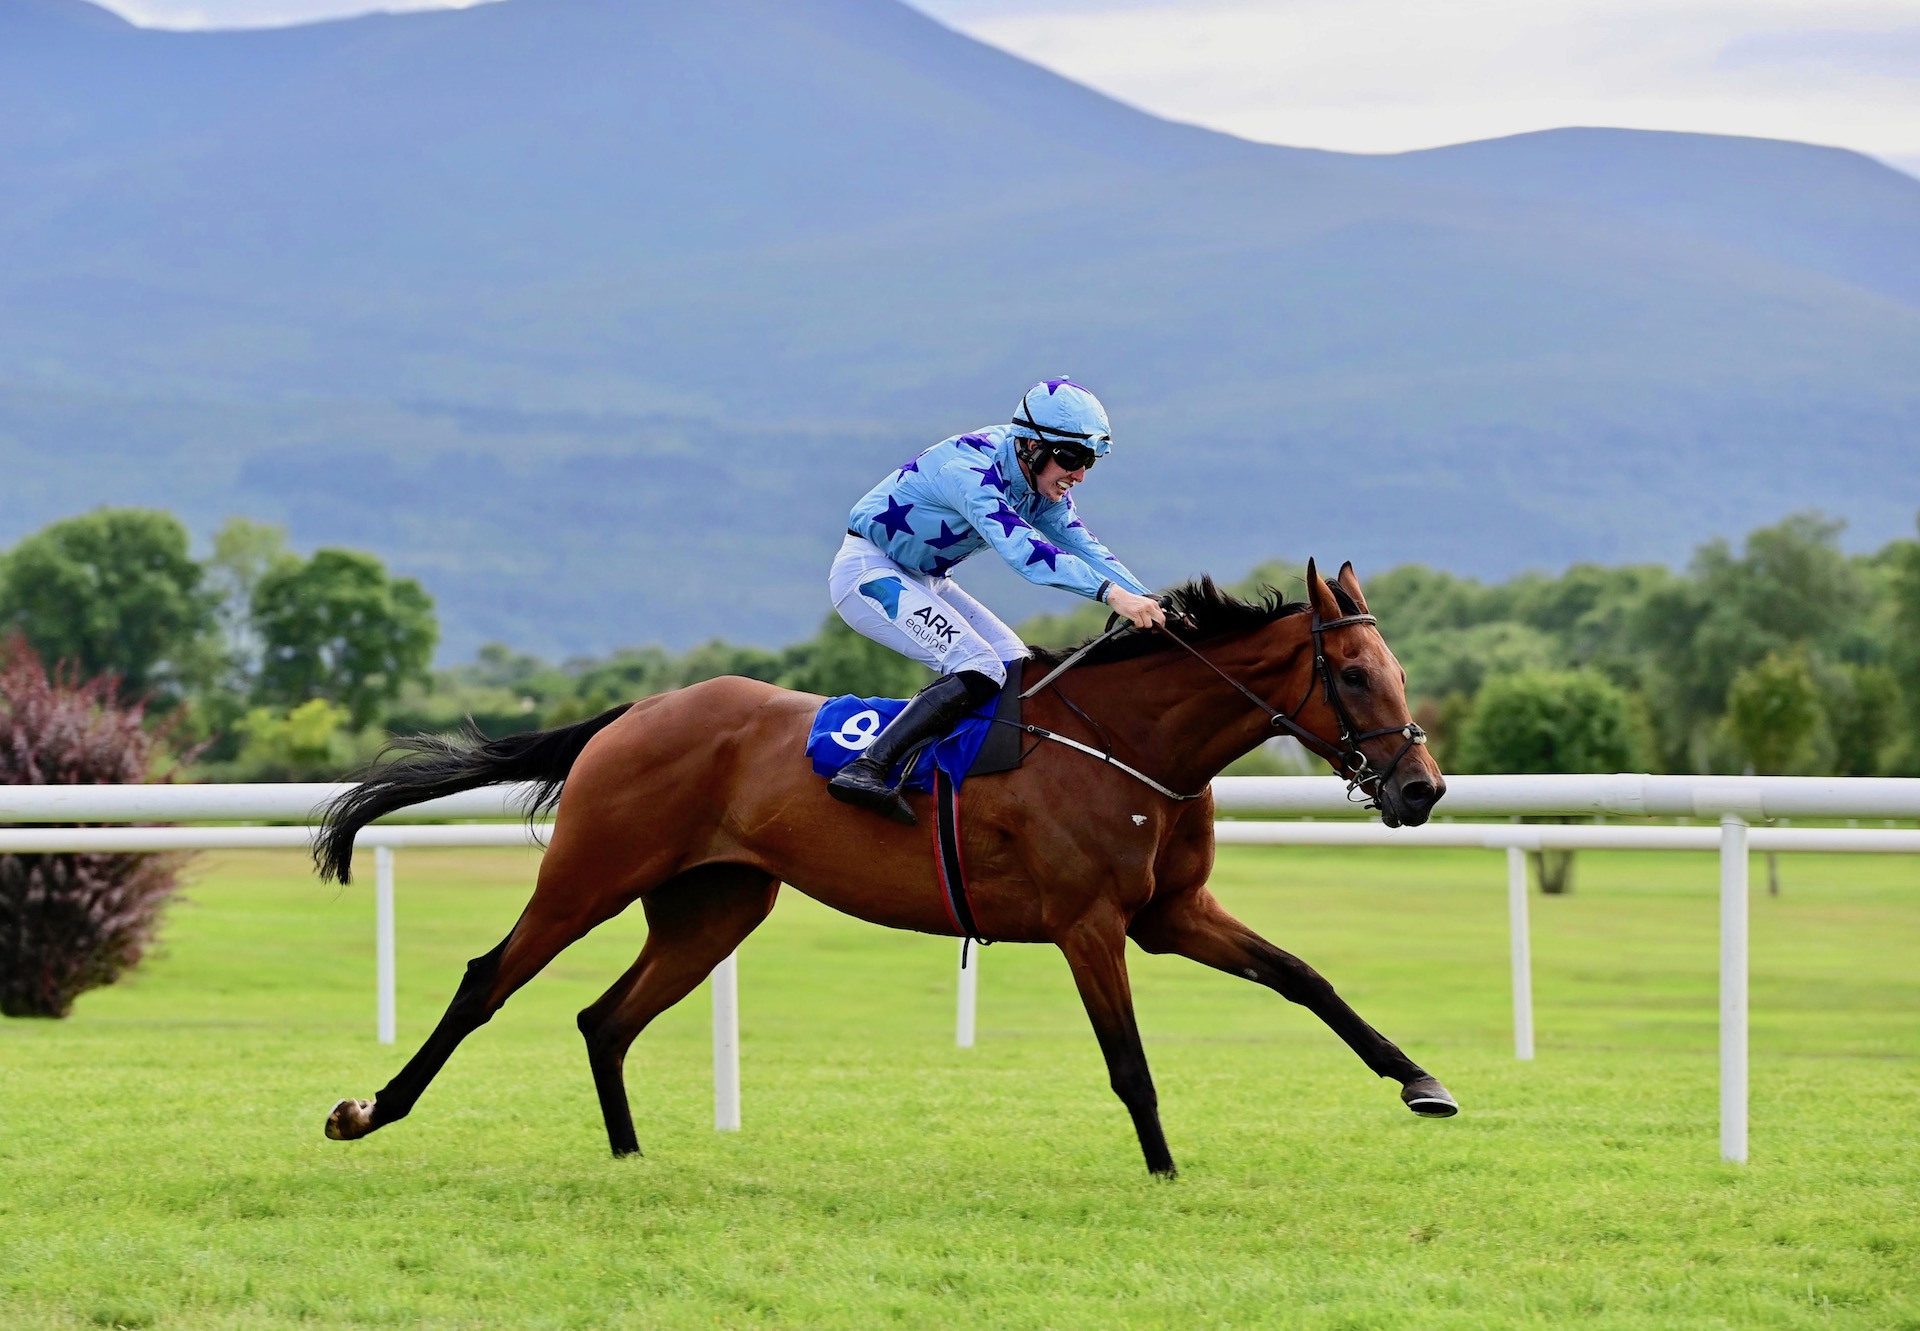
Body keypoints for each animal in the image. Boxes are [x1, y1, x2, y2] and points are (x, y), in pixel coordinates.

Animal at [314, 556, 1451, 1175]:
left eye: (1399, 668)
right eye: (1355, 674)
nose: (1422, 790)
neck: (1129, 741)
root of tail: (634, 711)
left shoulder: (1171, 911)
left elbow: (1306, 978)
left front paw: (1422, 1081)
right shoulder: (1089, 922)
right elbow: (1129, 1062)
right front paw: (1167, 1171)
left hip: (715, 907)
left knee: (607, 1018)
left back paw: (630, 1156)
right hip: (591, 874)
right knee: (486, 981)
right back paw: (367, 1109)